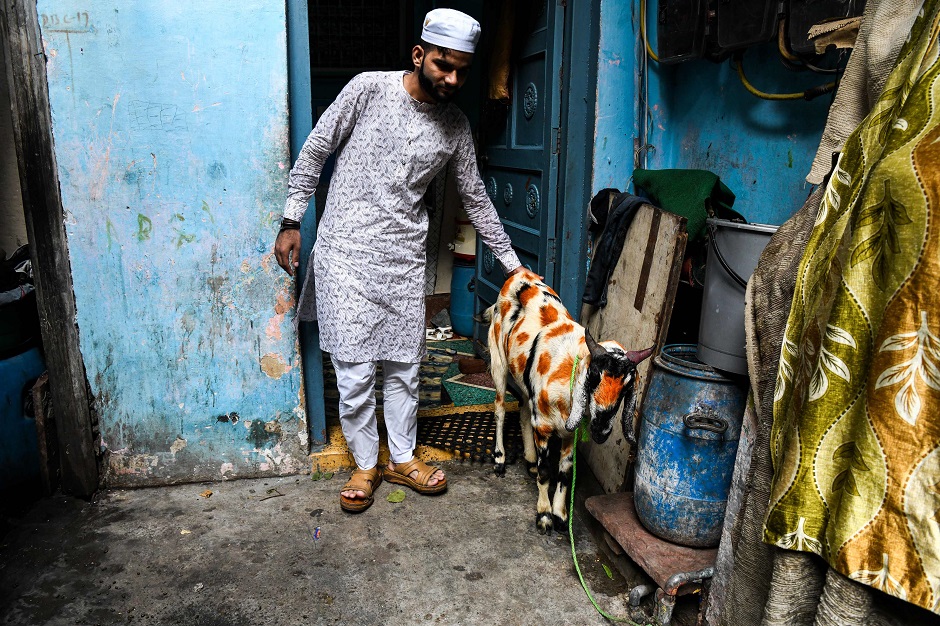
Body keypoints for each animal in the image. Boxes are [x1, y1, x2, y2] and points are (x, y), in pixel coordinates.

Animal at [482, 268, 648, 532]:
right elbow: (545, 472)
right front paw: (544, 515)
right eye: (593, 376)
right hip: (499, 361)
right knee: (499, 409)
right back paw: (499, 458)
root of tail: (521, 275)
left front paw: (560, 514)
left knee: (523, 411)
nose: (601, 429)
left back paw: (529, 458)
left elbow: (564, 473)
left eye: (626, 388)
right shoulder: (543, 427)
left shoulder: (570, 433)